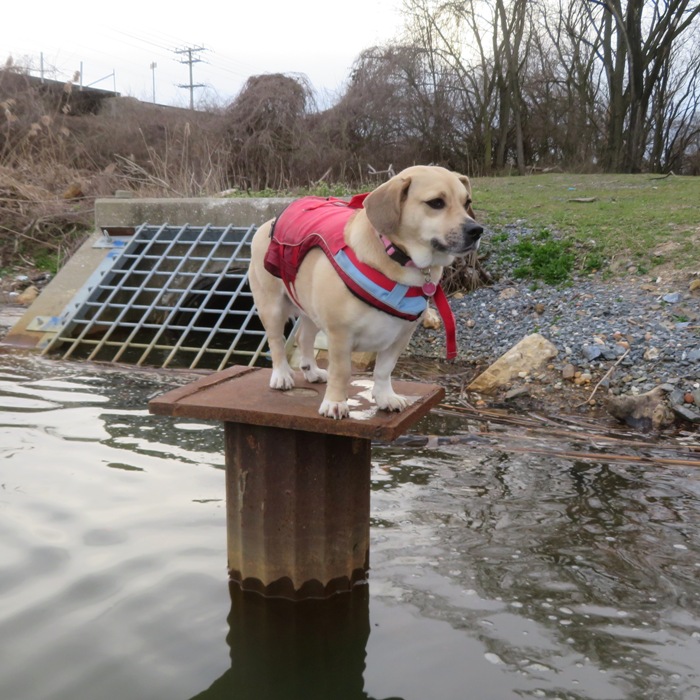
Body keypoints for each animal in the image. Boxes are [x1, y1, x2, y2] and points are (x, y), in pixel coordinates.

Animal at [249, 165, 484, 418]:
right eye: (436, 203)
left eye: (467, 202)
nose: (476, 230)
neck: (397, 257)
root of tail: (268, 222)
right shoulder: (340, 335)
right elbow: (341, 372)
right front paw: (335, 402)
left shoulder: (400, 336)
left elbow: (384, 370)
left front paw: (385, 396)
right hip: (272, 308)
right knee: (276, 341)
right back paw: (282, 375)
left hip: (309, 310)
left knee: (304, 337)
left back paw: (311, 371)